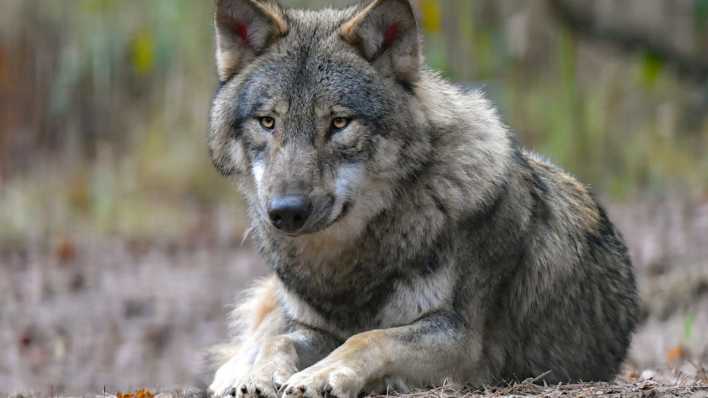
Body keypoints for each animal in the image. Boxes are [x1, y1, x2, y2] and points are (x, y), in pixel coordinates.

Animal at [203, 0, 636, 398]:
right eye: (268, 122)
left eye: (339, 123)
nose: (287, 212)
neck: (347, 263)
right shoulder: (310, 327)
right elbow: (279, 340)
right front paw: (256, 377)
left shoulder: (460, 340)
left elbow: (370, 337)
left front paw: (323, 374)